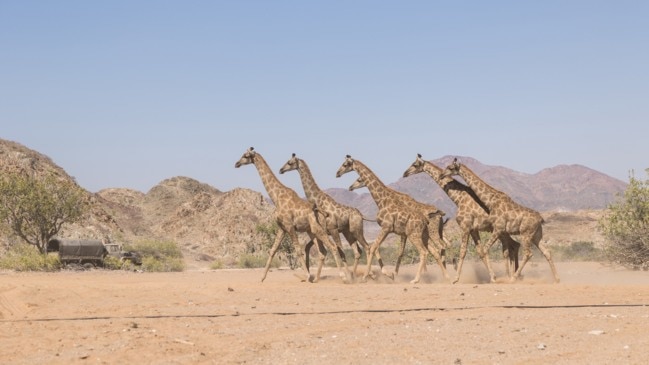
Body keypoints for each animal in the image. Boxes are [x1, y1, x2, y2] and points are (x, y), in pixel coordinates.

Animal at [235, 146, 350, 282]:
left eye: (246, 155)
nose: (236, 164)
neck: (276, 196)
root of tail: (321, 213)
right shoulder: (282, 227)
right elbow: (272, 250)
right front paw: (262, 278)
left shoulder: (290, 226)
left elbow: (298, 250)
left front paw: (307, 276)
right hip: (312, 231)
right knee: (323, 251)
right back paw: (317, 279)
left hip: (318, 229)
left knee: (332, 247)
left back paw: (343, 277)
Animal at [336, 153, 448, 282]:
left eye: (345, 164)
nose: (337, 173)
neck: (382, 200)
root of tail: (438, 214)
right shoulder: (393, 231)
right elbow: (382, 249)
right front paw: (390, 274)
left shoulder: (387, 227)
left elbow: (374, 247)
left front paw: (368, 276)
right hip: (424, 234)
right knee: (435, 251)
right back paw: (445, 276)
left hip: (421, 234)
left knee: (431, 250)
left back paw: (420, 279)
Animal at [402, 153, 520, 282]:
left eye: (415, 164)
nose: (405, 173)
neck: (458, 198)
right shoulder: (473, 229)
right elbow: (480, 251)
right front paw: (493, 277)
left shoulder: (465, 226)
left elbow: (463, 251)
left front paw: (456, 278)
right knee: (514, 245)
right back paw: (514, 275)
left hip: (501, 230)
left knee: (511, 247)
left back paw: (512, 275)